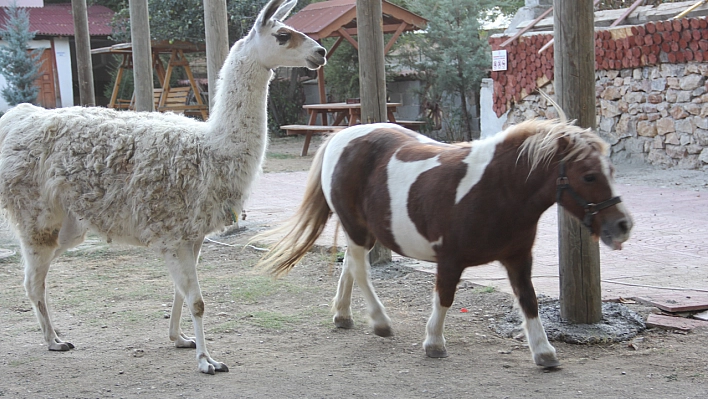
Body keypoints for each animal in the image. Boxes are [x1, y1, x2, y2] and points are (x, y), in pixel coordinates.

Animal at [258, 121, 632, 368]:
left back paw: (343, 314)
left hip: (363, 231)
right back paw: (380, 321)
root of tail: (342, 136)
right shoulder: (450, 259)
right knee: (361, 271)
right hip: (358, 228)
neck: (497, 189)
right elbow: (445, 297)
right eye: (588, 175)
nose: (623, 225)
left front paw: (544, 352)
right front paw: (434, 342)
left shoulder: (518, 258)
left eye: (612, 170)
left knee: (351, 265)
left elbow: (529, 301)